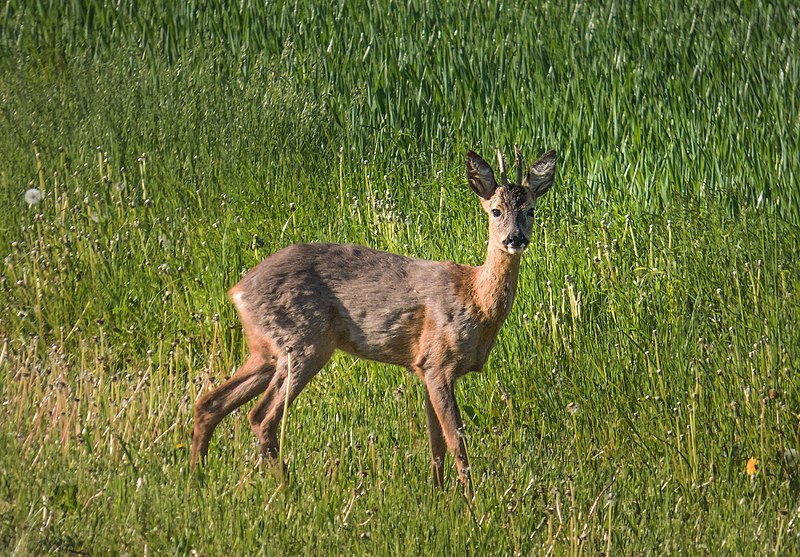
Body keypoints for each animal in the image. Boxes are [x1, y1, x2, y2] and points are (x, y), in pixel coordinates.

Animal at [192, 147, 556, 490]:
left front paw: (439, 497)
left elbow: (436, 444)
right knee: (261, 416)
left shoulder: (424, 367)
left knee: (210, 402)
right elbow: (456, 443)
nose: (515, 238)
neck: (476, 299)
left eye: (531, 210)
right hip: (303, 344)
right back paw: (285, 491)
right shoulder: (438, 362)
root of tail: (237, 291)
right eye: (495, 210)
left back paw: (197, 479)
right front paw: (470, 504)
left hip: (267, 349)